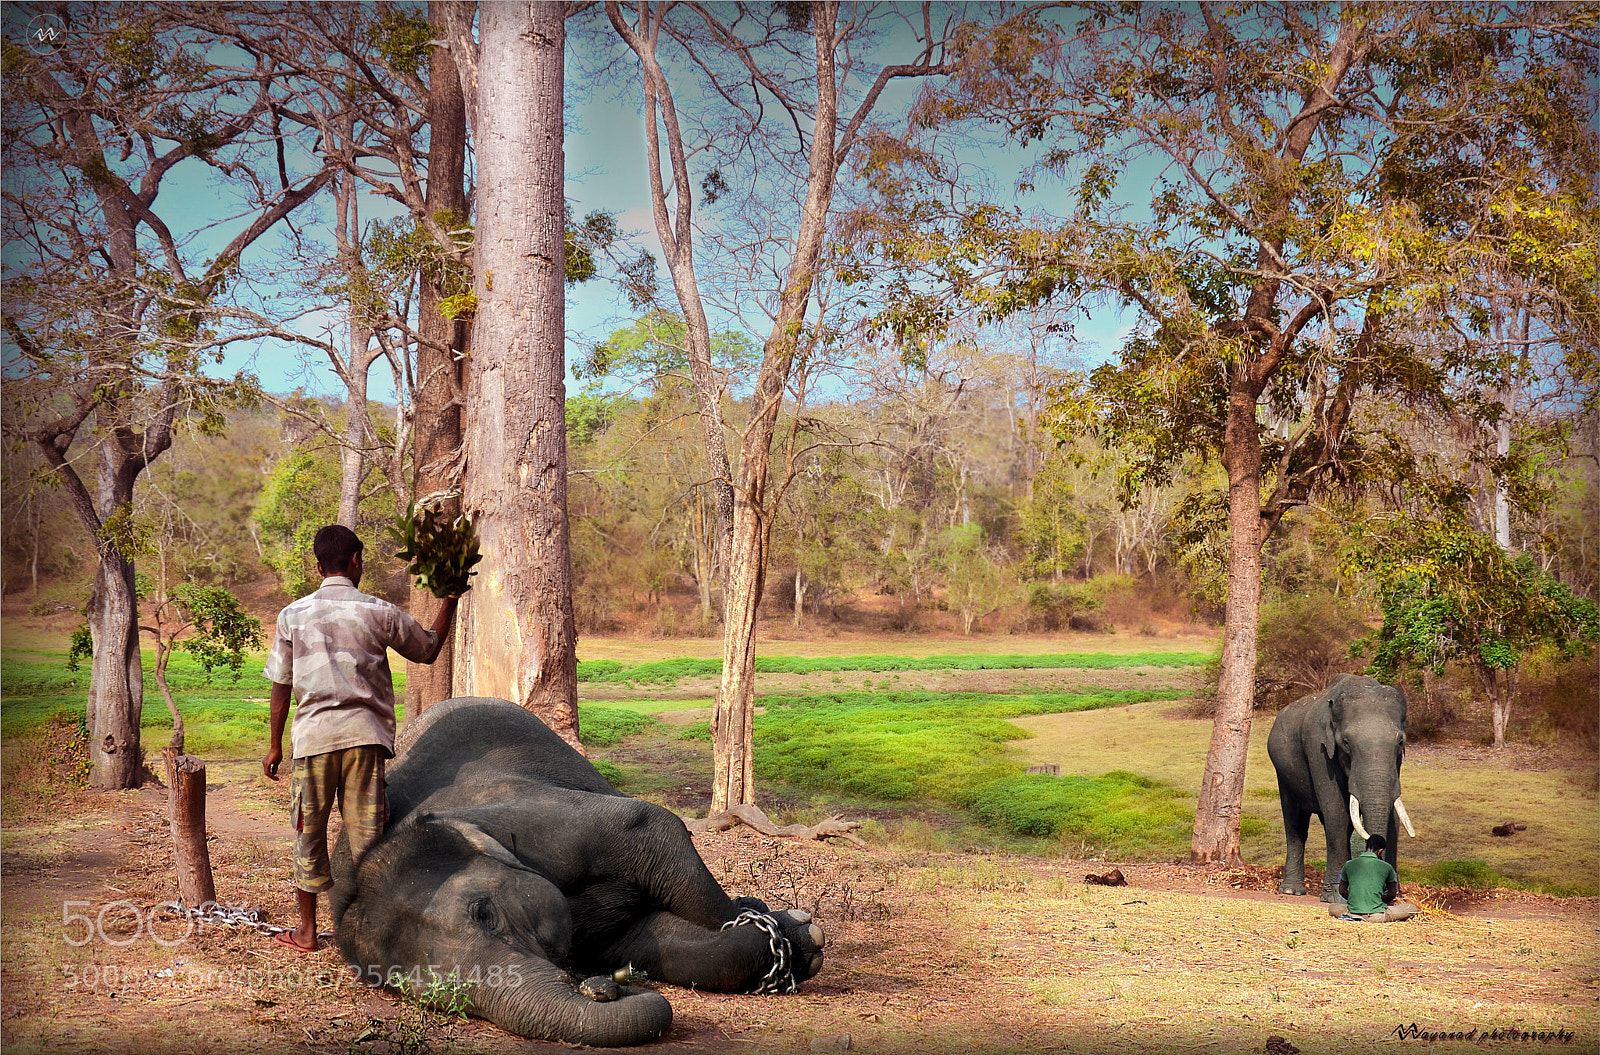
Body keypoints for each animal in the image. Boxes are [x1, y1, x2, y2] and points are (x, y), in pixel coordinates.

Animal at [329, 697, 825, 1047]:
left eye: (484, 914)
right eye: (437, 996)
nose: (600, 987)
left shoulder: (543, 820)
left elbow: (650, 825)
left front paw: (786, 930)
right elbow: (648, 940)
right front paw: (786, 940)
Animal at [1266, 673, 1417, 902]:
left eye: (1401, 741)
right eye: (1346, 743)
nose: (1383, 891)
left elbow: (1393, 817)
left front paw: (1395, 896)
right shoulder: (1318, 749)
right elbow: (1336, 814)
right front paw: (1336, 897)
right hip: (1283, 774)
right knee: (1295, 824)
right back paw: (1292, 891)